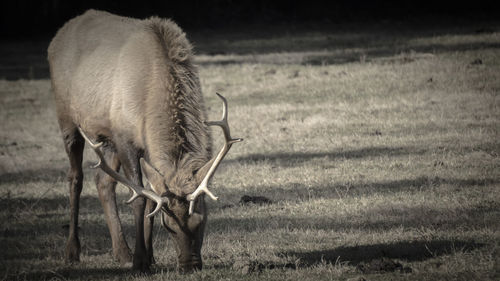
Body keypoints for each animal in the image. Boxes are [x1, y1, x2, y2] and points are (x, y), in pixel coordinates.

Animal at [48, 10, 242, 272]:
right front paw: (140, 261)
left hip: (106, 140)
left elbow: (151, 199)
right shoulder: (124, 138)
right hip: (67, 117)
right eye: (169, 225)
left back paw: (122, 252)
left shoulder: (144, 147)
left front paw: (149, 257)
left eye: (202, 220)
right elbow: (139, 198)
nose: (190, 265)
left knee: (103, 181)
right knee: (75, 178)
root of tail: (56, 38)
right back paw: (72, 251)